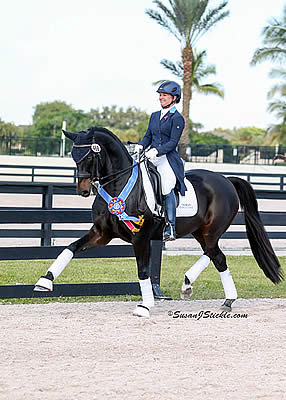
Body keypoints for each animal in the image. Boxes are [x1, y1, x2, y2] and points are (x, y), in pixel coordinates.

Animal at [34, 126, 282, 318]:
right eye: (73, 156)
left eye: (89, 156)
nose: (83, 190)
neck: (119, 184)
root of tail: (226, 180)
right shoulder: (101, 233)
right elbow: (70, 247)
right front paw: (45, 281)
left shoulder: (140, 237)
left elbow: (143, 271)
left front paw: (145, 306)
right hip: (200, 232)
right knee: (216, 256)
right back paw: (213, 295)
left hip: (210, 231)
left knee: (214, 253)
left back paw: (195, 286)